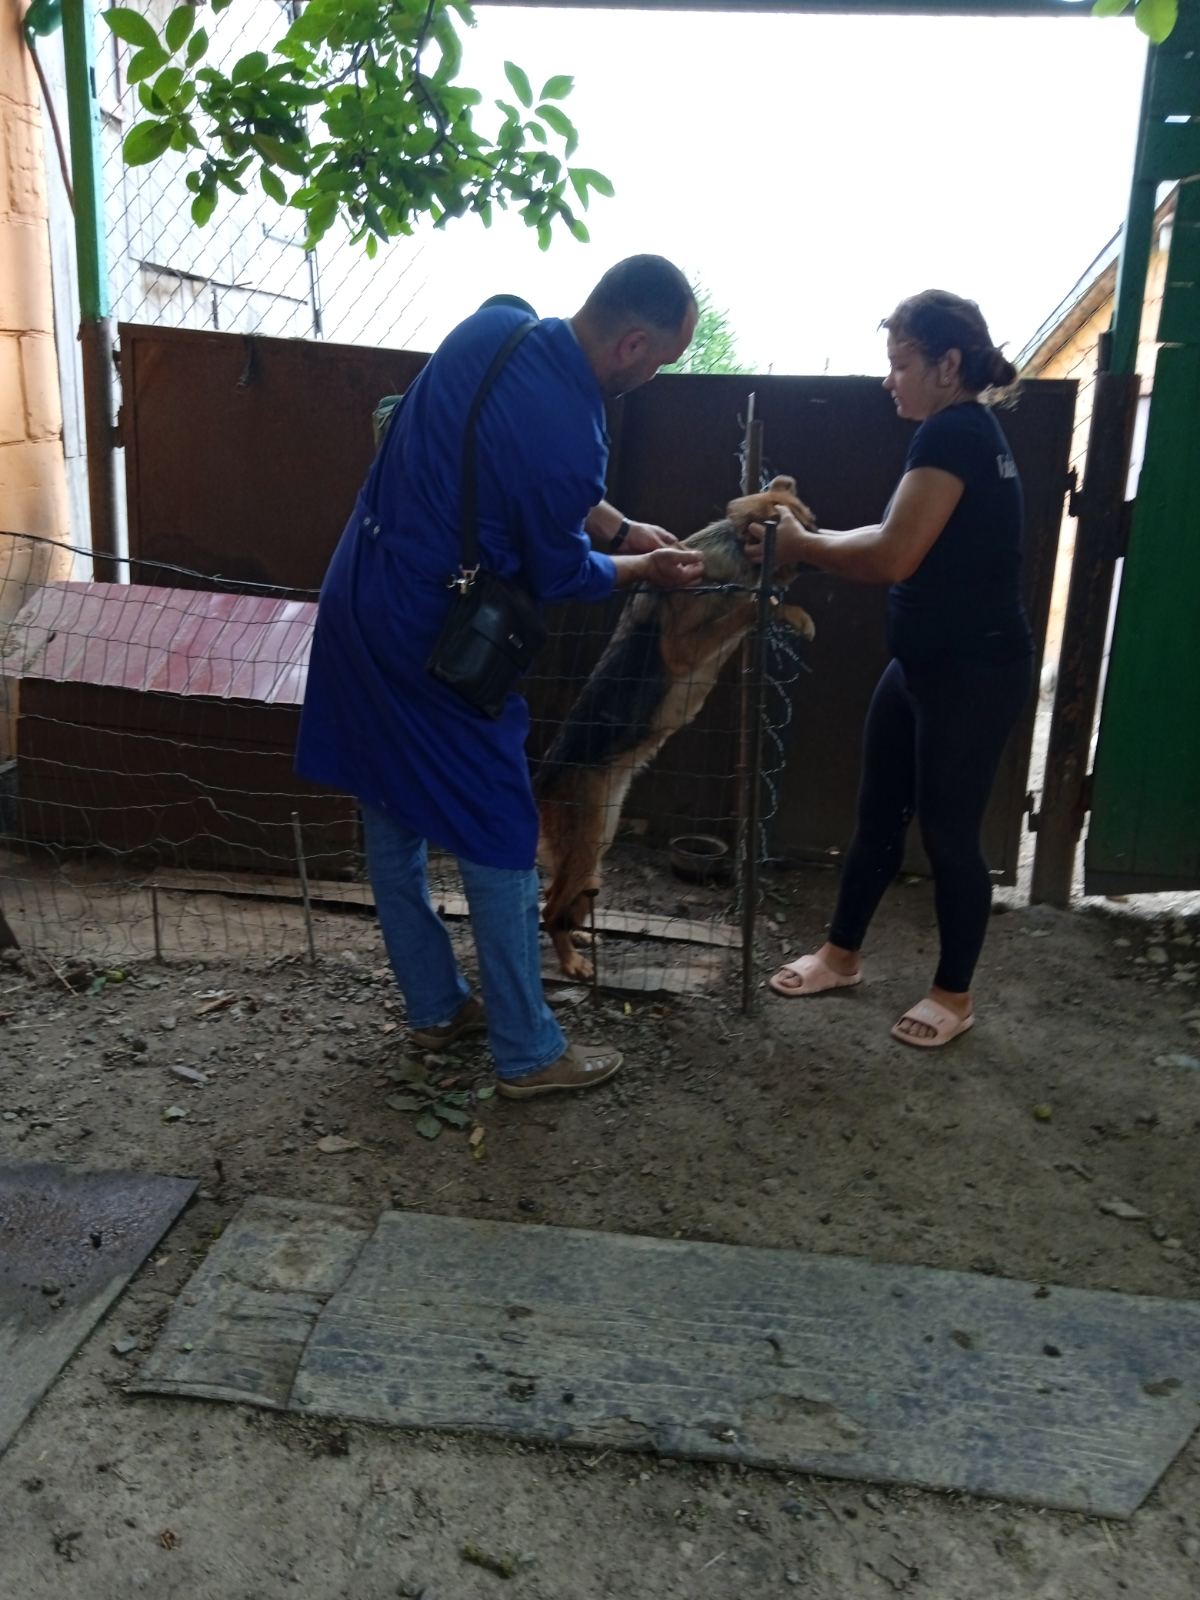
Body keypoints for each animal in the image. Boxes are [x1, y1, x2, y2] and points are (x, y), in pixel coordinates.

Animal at [535, 475, 817, 978]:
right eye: (801, 528)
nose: (823, 545)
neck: (734, 547)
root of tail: (541, 781)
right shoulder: (683, 646)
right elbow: (747, 605)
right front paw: (790, 611)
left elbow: (746, 613)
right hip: (586, 842)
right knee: (549, 909)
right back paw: (570, 962)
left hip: (599, 839)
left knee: (557, 900)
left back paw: (579, 938)